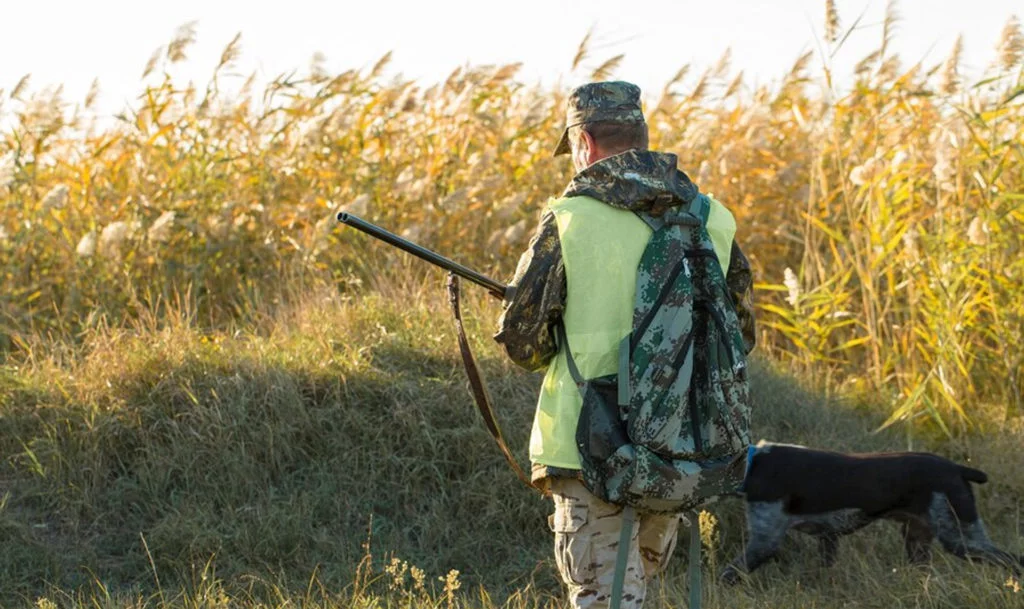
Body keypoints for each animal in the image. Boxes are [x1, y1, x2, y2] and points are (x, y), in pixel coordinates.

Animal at [724, 440, 1019, 585]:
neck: (752, 464)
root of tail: (958, 468)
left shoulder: (765, 541)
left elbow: (729, 574)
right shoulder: (827, 538)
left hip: (961, 537)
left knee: (1014, 560)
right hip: (918, 541)